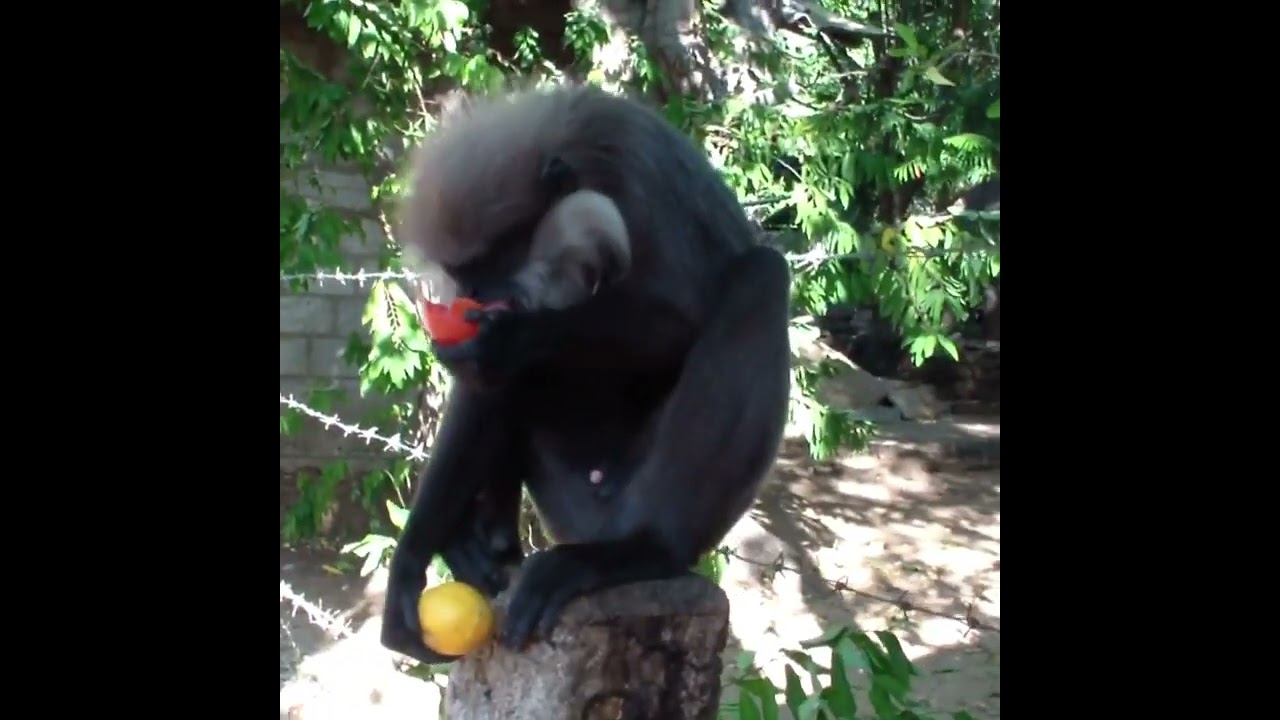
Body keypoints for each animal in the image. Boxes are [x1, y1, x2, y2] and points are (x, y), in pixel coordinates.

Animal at [382, 84, 793, 665]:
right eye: (462, 273)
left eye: (495, 260)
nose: (474, 298)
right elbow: (483, 381)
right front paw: (410, 562)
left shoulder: (644, 178)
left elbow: (681, 317)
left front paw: (514, 339)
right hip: (562, 494)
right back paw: (489, 539)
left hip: (633, 498)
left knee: (761, 275)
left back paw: (641, 550)